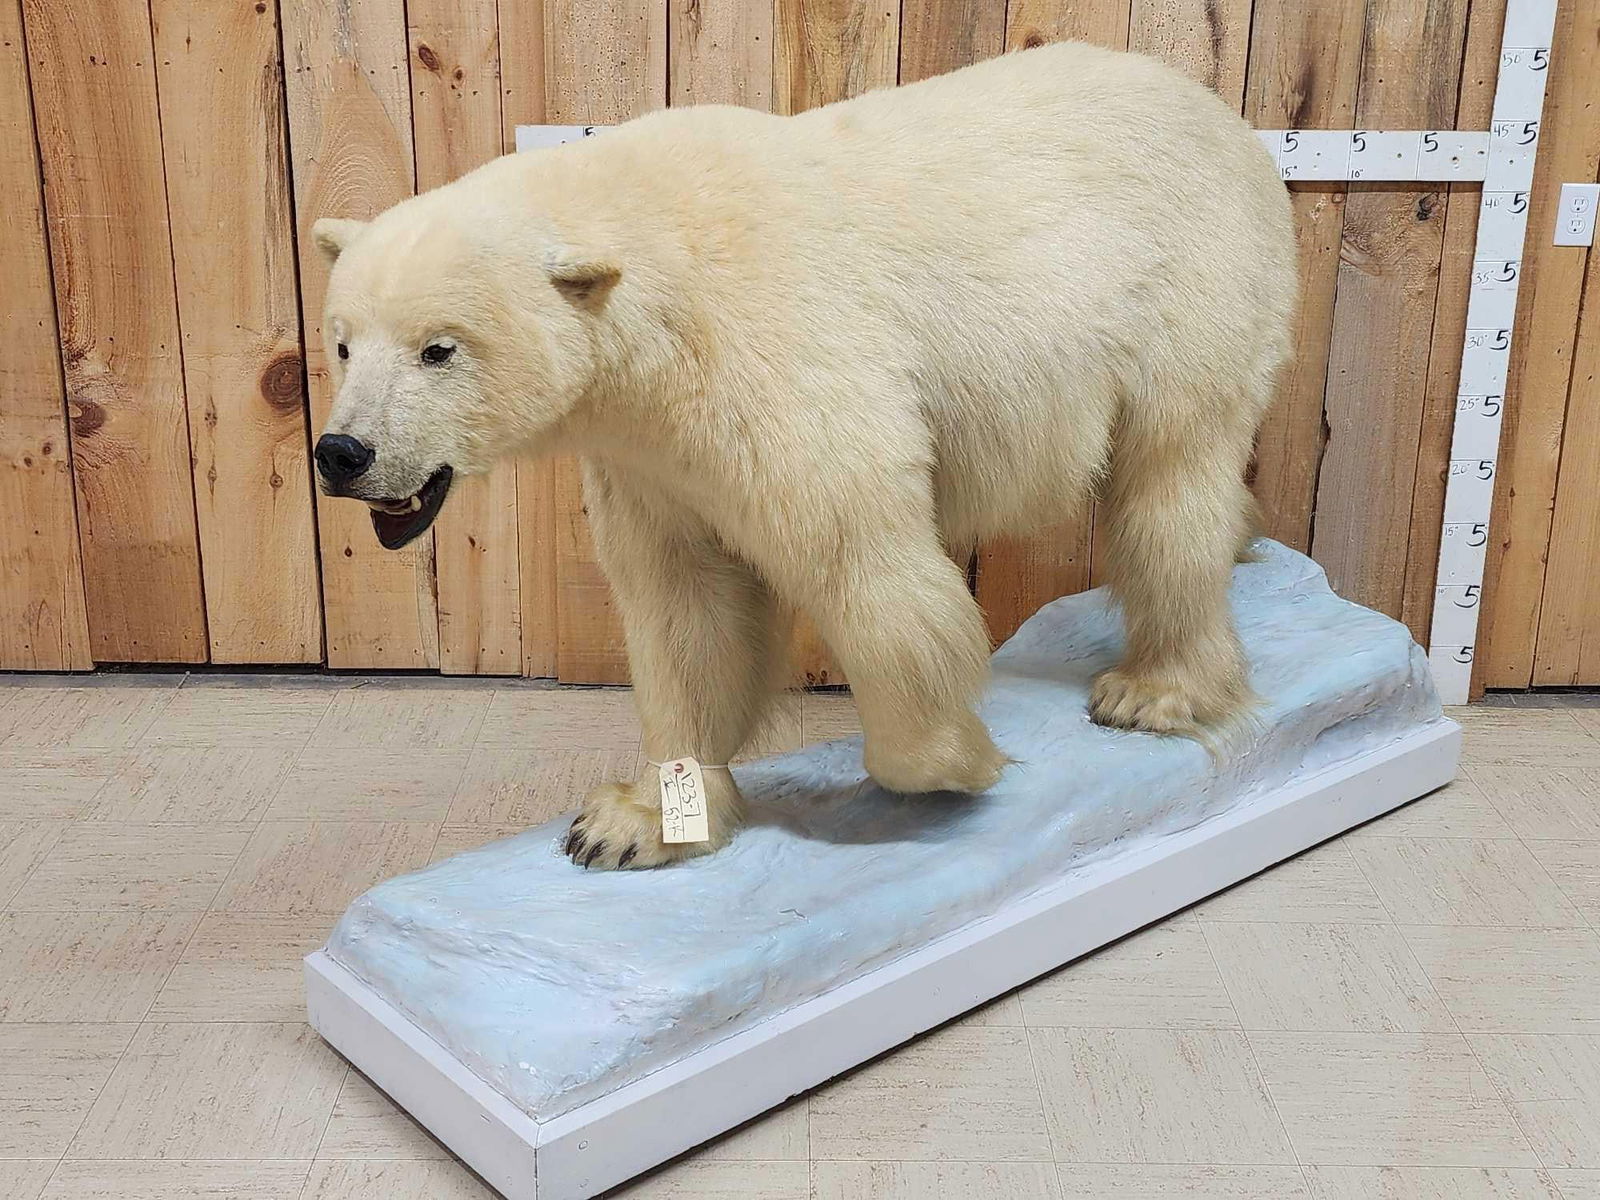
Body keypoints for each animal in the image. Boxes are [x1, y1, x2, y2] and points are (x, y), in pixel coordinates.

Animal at [309, 41, 1298, 870]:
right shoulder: (648, 456)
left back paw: (1154, 690)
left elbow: (860, 559)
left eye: (440, 348)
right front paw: (631, 822)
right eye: (343, 342)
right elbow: (684, 604)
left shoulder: (771, 357)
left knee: (1169, 481)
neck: (659, 286)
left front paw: (949, 762)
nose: (342, 451)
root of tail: (1225, 116)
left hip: (1189, 288)